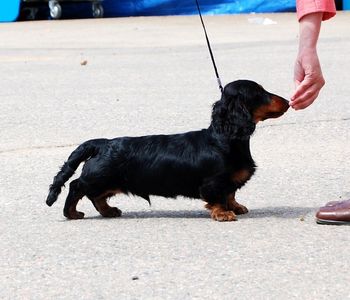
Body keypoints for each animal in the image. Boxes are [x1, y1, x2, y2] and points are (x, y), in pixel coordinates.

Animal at [46, 79, 290, 220]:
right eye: (259, 92)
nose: (288, 101)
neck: (224, 139)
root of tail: (101, 143)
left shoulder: (229, 183)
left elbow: (230, 193)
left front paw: (236, 206)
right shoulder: (213, 182)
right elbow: (219, 197)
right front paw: (223, 213)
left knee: (97, 197)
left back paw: (108, 211)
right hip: (98, 177)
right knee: (76, 186)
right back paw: (71, 213)